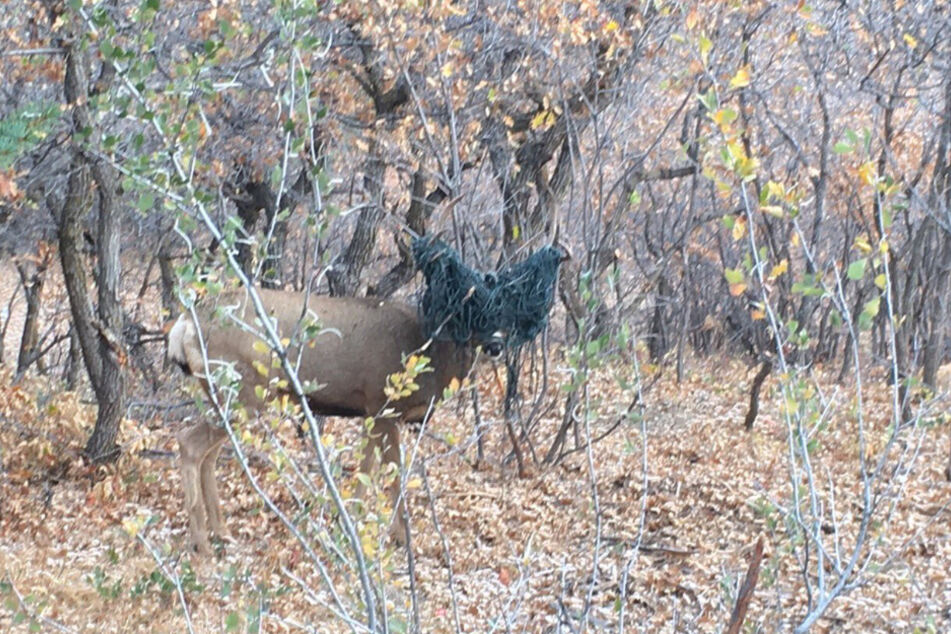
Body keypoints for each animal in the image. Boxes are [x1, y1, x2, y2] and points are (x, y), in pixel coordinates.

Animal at [168, 286, 506, 552]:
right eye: (471, 309)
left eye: (504, 308)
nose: (496, 346)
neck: (430, 351)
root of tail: (184, 325)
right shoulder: (382, 406)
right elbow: (385, 471)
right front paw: (382, 533)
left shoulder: (377, 413)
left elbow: (376, 468)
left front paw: (368, 528)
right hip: (244, 393)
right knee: (189, 443)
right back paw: (201, 543)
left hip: (224, 397)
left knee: (208, 454)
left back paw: (221, 532)